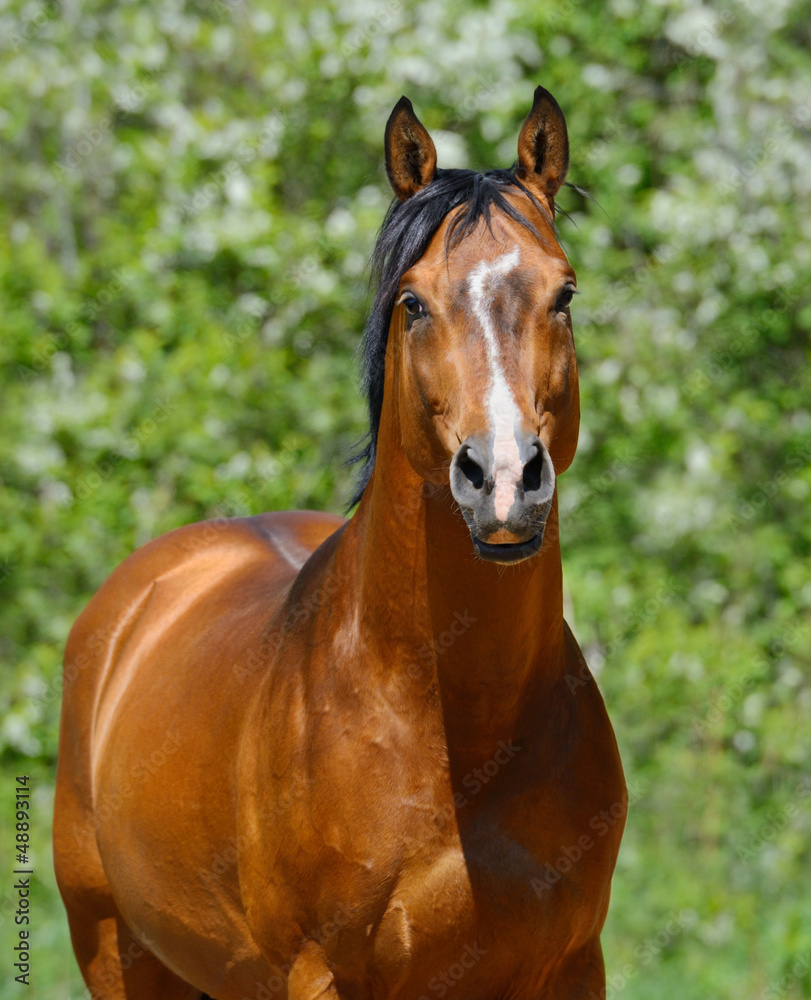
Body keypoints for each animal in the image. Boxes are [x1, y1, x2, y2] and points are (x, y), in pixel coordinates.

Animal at [55, 86, 628, 1000]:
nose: (503, 480)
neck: (452, 720)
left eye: (563, 294)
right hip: (115, 951)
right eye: (413, 302)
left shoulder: (572, 966)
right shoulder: (322, 973)